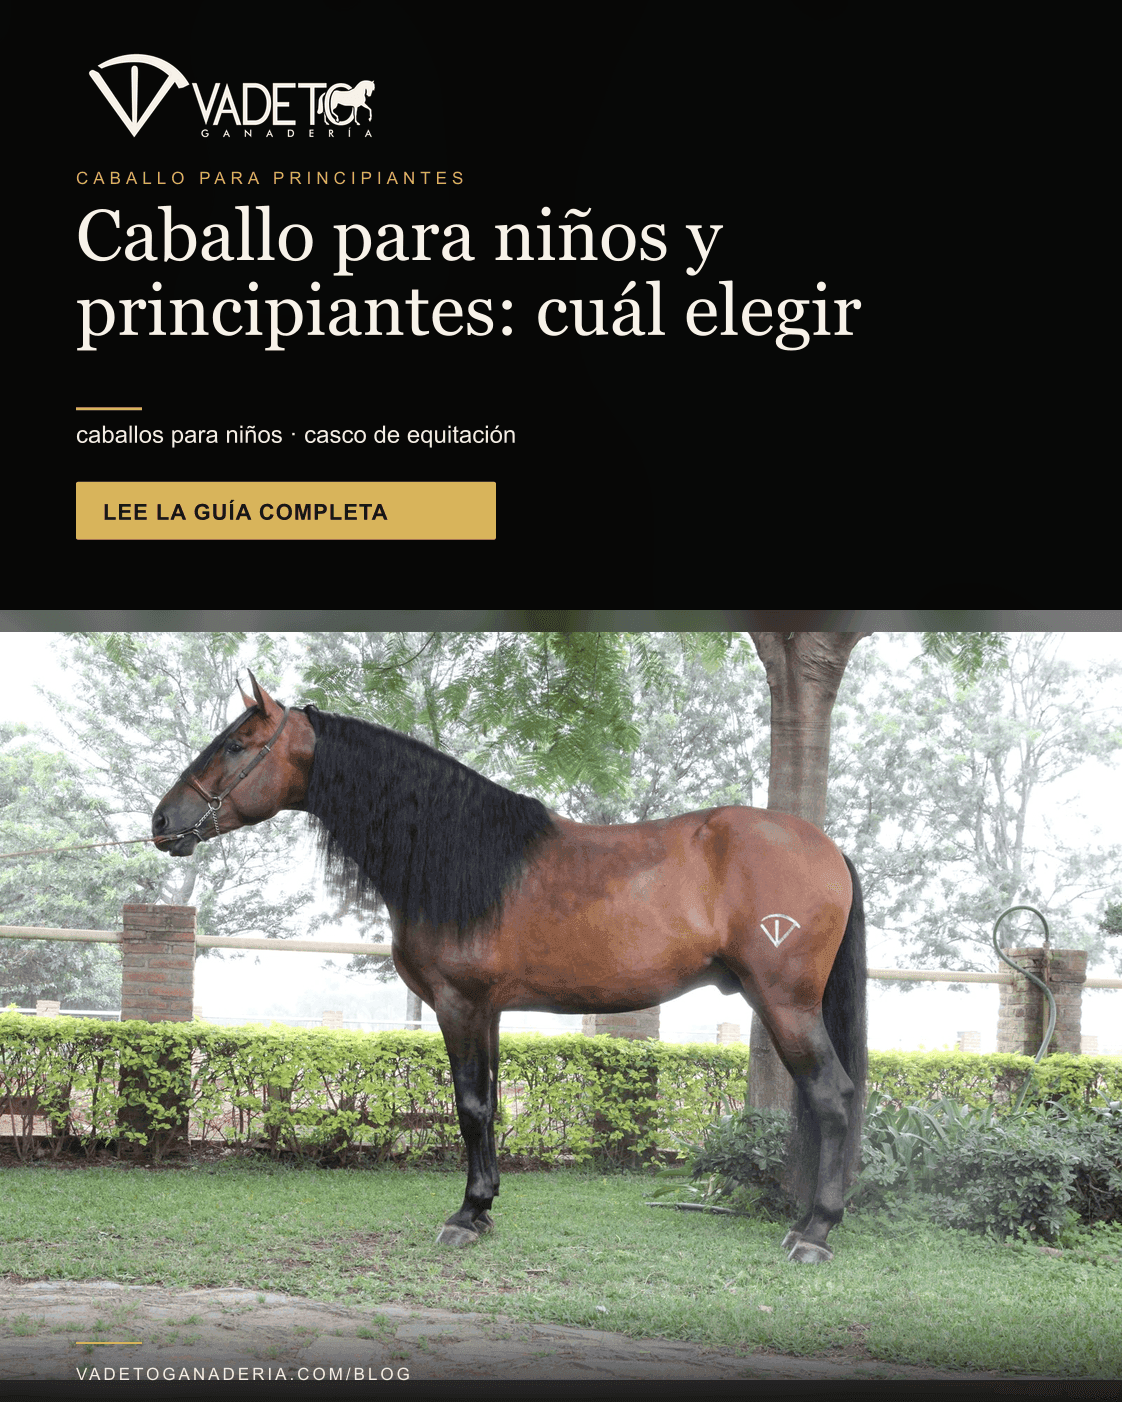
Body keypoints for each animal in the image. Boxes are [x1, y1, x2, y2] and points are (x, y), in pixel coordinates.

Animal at [152, 672, 867, 1264]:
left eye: (238, 745)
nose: (162, 821)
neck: (459, 853)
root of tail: (825, 847)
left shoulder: (459, 1003)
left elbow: (469, 1105)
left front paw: (465, 1216)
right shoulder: (489, 1010)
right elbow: (491, 1103)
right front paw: (486, 1207)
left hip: (785, 1002)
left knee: (832, 1096)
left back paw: (815, 1232)